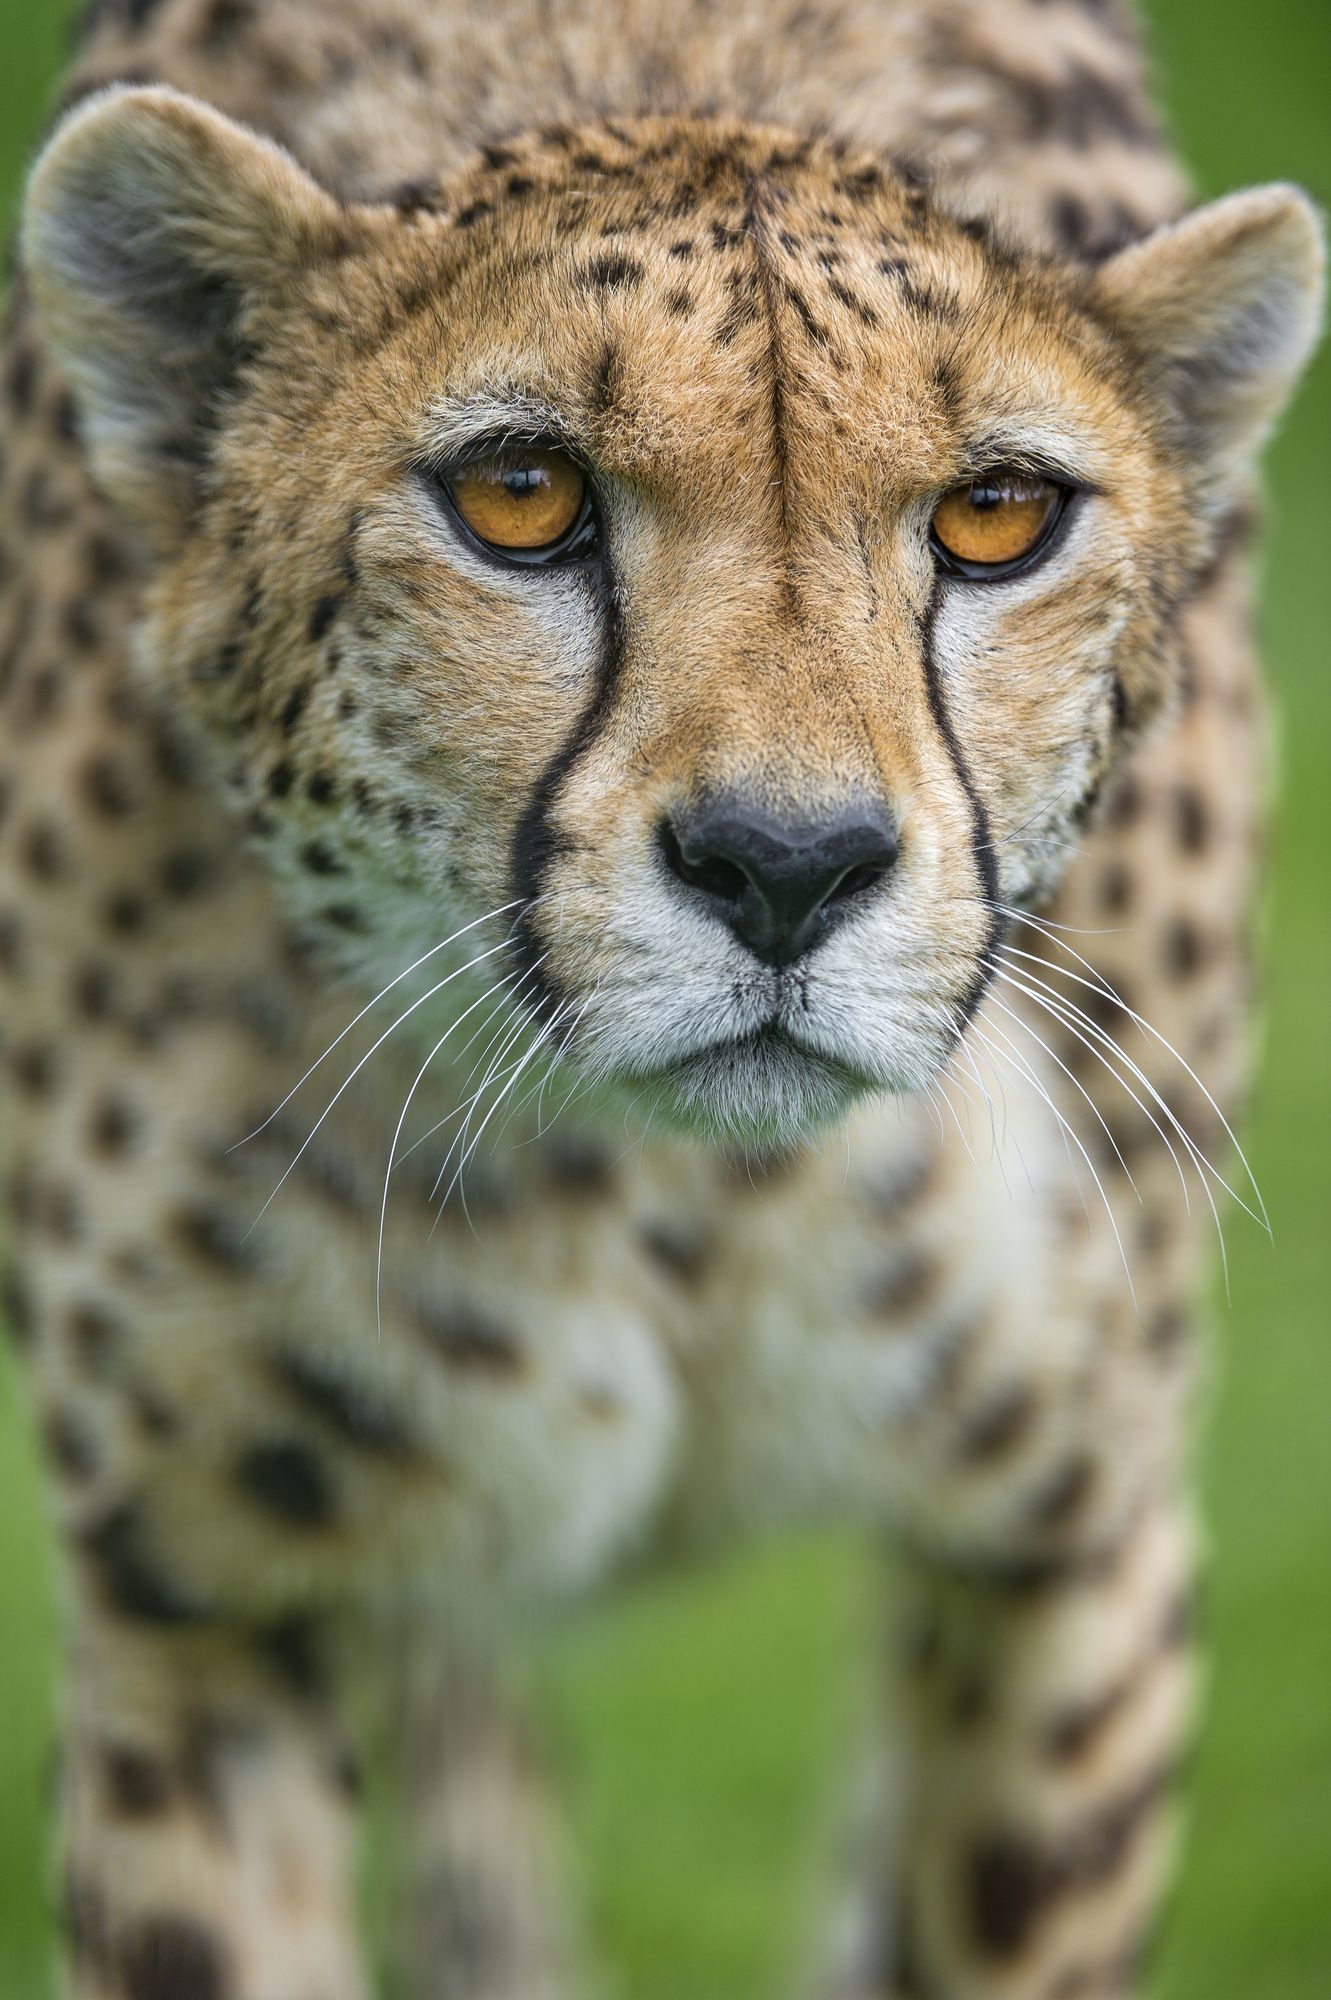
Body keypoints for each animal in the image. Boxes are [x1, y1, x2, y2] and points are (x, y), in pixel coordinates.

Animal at [0, 0, 1319, 1992]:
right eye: (518, 494)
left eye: (996, 516)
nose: (785, 864)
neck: (664, 1196)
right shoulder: (196, 1598)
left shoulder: (1073, 1539)